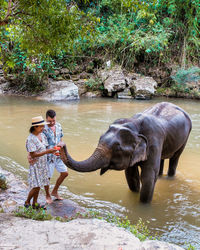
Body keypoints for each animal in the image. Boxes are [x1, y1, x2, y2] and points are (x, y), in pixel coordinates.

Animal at [59, 102, 192, 203]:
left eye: (117, 148)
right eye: (100, 138)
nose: (61, 145)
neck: (134, 123)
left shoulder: (154, 142)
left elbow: (148, 177)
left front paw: (143, 207)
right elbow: (131, 175)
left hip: (185, 139)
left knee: (175, 158)